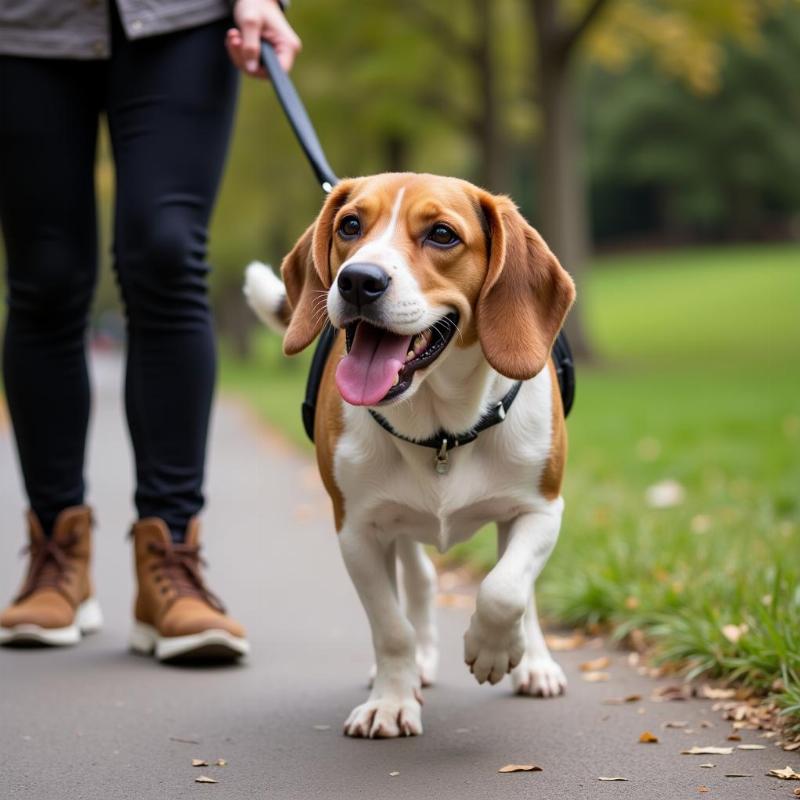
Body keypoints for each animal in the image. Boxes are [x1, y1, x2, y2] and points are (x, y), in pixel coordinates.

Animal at [244, 173, 576, 736]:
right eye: (349, 225)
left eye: (442, 234)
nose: (358, 280)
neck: (441, 429)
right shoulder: (357, 530)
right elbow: (391, 626)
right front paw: (392, 701)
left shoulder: (542, 509)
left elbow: (505, 590)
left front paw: (494, 650)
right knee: (420, 580)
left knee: (517, 590)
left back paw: (532, 661)